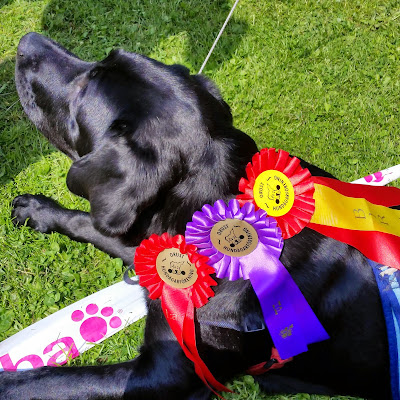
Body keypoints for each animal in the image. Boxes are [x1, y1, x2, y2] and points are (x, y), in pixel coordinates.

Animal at [2, 32, 391, 399]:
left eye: (85, 86)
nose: (25, 41)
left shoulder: (163, 376)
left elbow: (52, 380)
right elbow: (93, 226)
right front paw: (39, 210)